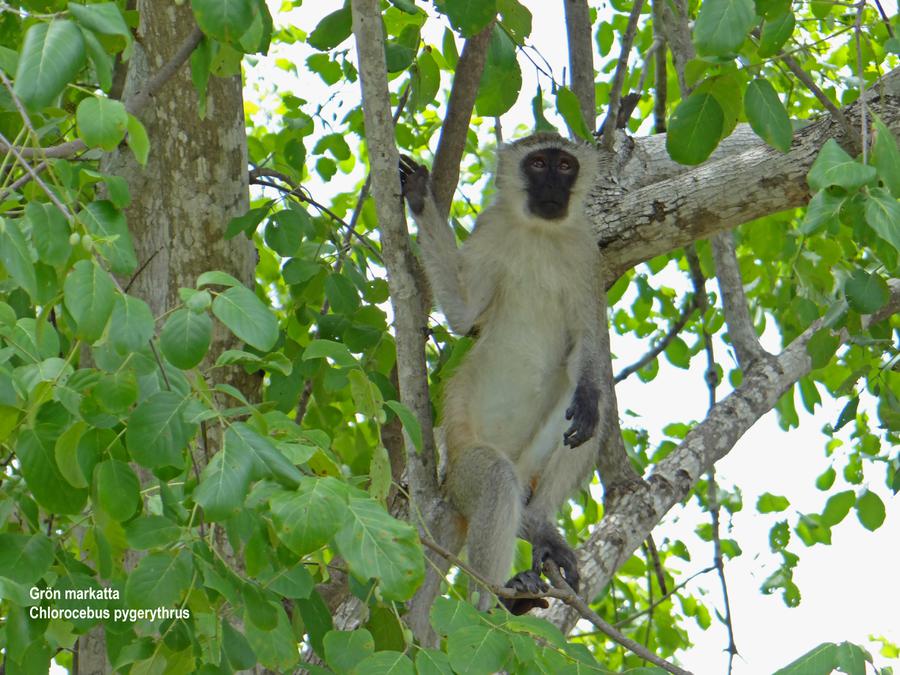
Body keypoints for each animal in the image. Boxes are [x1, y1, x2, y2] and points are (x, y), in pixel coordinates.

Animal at [400, 132, 604, 612]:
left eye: (565, 166)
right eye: (539, 163)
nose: (552, 188)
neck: (539, 234)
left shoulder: (586, 252)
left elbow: (589, 346)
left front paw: (588, 396)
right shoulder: (491, 228)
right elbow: (463, 313)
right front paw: (420, 197)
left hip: (529, 464)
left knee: (593, 402)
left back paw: (538, 524)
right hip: (463, 475)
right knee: (494, 479)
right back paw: (496, 600)